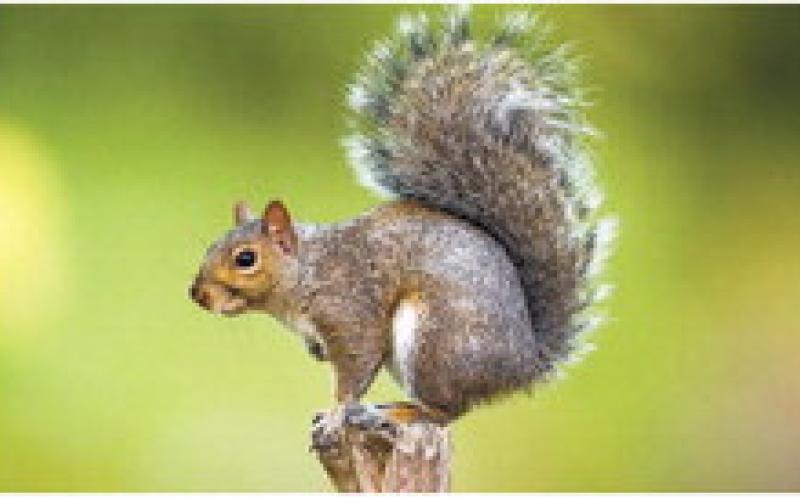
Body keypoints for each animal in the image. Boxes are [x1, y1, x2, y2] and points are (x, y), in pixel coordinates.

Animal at [189, 7, 615, 426]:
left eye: (246, 258)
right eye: (211, 247)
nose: (197, 295)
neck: (307, 272)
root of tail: (523, 364)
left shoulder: (350, 309)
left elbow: (357, 365)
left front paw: (336, 412)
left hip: (433, 342)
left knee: (448, 411)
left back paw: (402, 410)